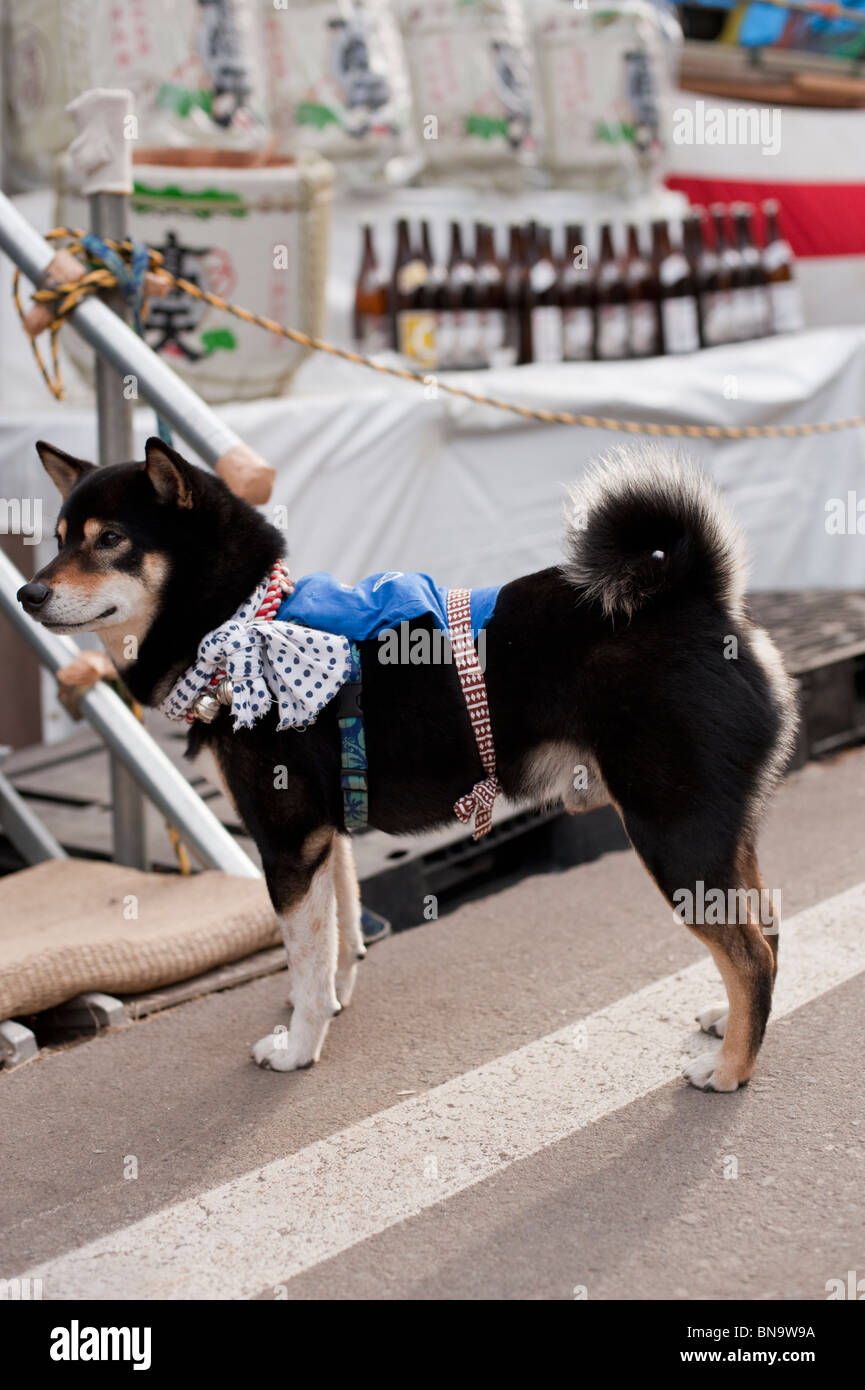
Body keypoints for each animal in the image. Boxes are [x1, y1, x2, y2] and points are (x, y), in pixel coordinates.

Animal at [16, 439, 801, 1089]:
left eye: (110, 540)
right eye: (56, 541)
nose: (28, 593)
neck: (239, 618)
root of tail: (698, 597)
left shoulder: (286, 841)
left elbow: (305, 957)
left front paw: (297, 1049)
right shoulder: (324, 838)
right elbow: (336, 942)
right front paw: (325, 1009)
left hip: (672, 832)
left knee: (750, 953)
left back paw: (729, 1070)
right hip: (719, 829)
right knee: (764, 930)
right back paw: (728, 1026)